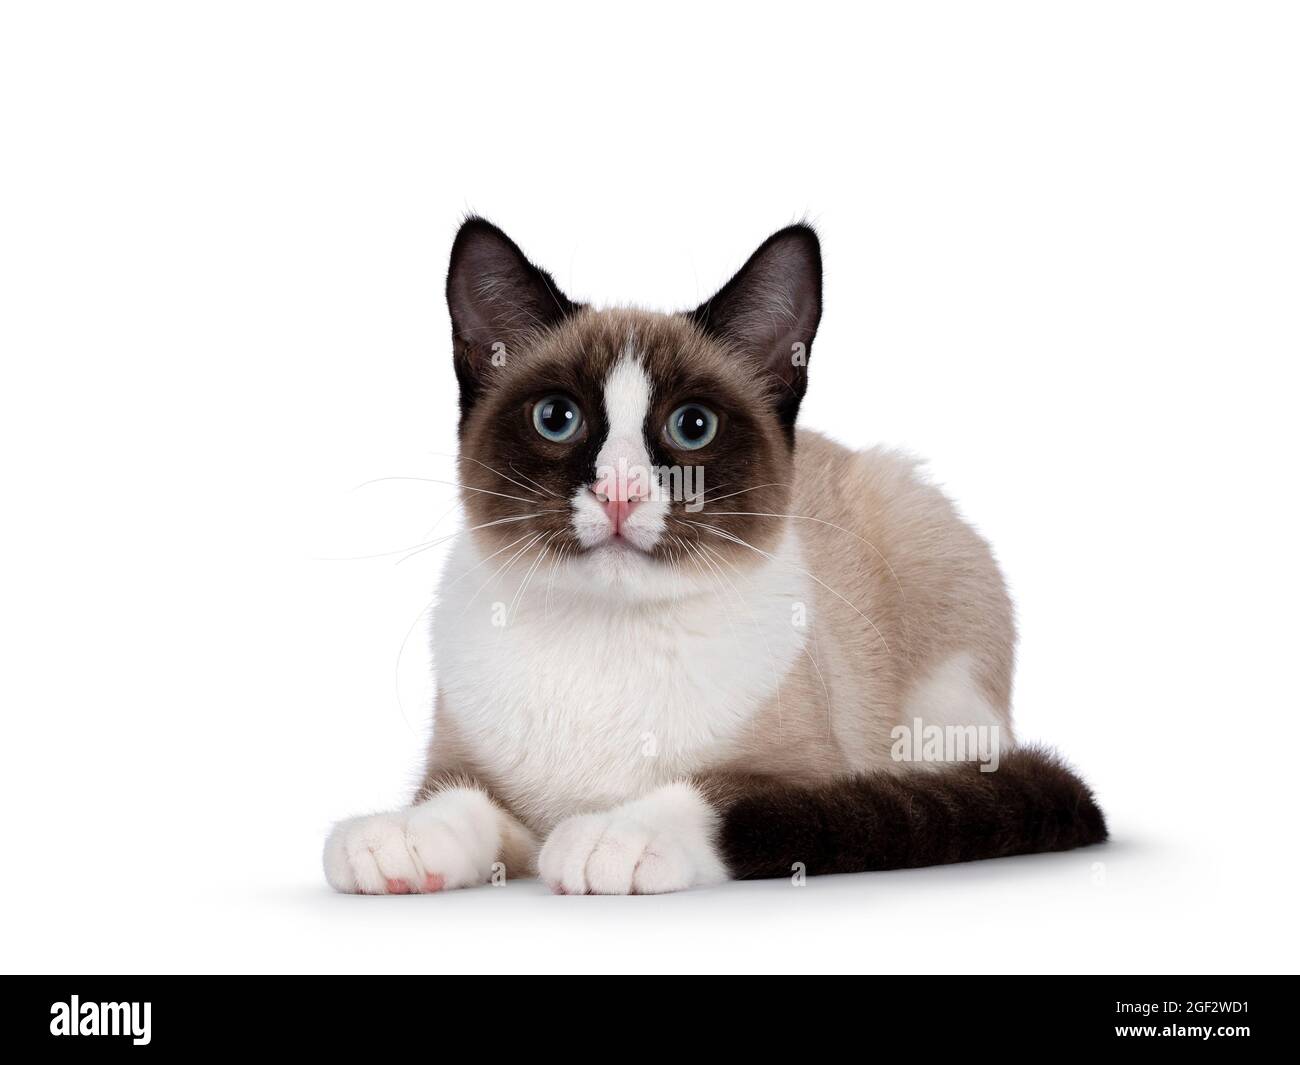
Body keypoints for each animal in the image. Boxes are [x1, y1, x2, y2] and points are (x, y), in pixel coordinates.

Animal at [325, 221, 1107, 894]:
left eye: (692, 427)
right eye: (557, 418)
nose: (620, 491)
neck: (605, 641)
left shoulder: (801, 778)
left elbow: (709, 792)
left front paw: (610, 838)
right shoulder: (482, 781)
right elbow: (456, 800)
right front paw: (398, 839)